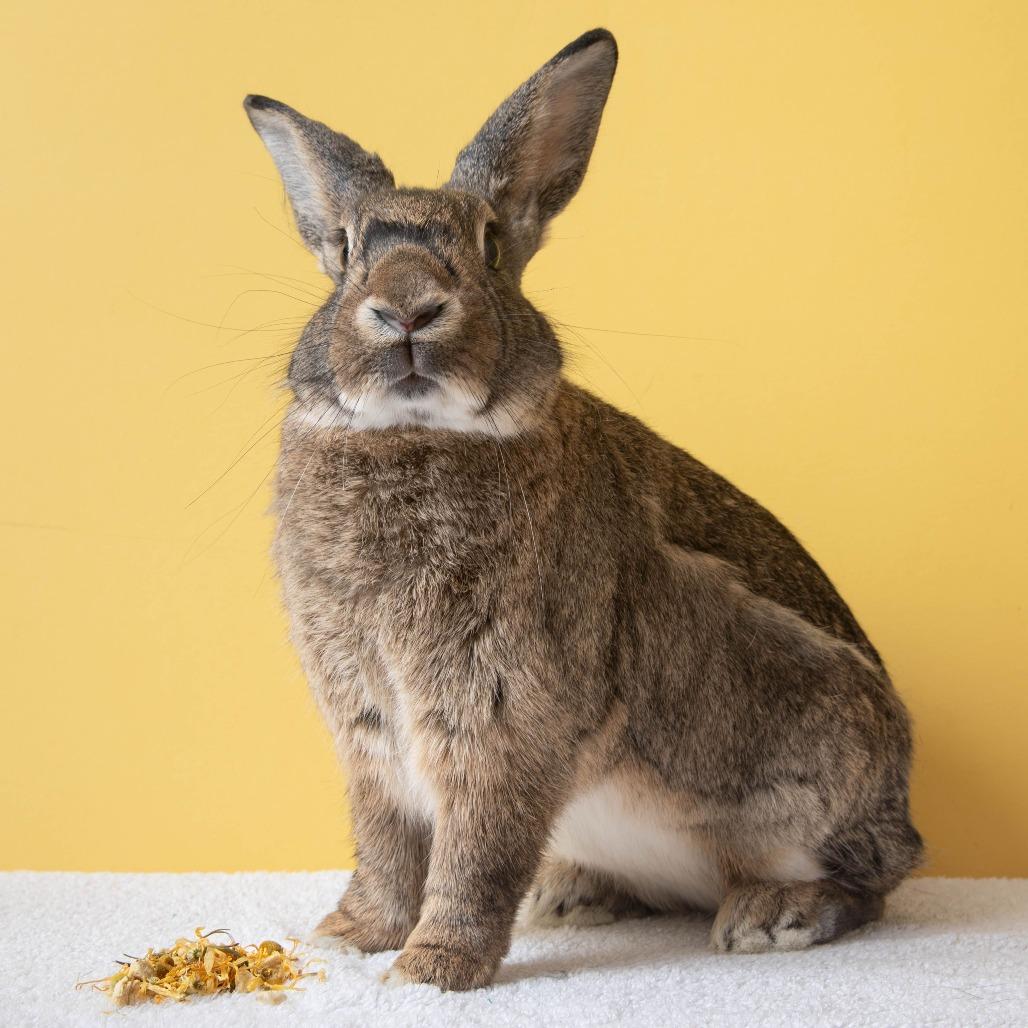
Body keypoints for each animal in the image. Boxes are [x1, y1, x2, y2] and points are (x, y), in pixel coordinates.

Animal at [243, 27, 922, 991]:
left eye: (490, 246)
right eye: (344, 251)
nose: (406, 309)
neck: (417, 432)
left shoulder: (501, 713)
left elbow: (474, 850)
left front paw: (432, 968)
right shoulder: (370, 728)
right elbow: (386, 843)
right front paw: (350, 935)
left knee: (874, 877)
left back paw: (771, 916)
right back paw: (569, 896)